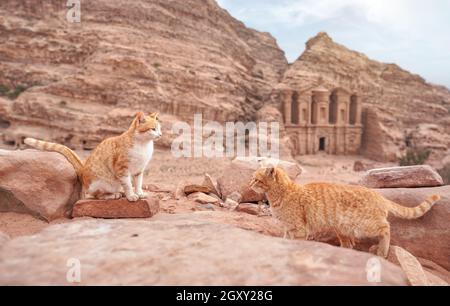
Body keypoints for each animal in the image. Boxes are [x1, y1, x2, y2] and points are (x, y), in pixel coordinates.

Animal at [24, 111, 162, 202]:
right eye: (153, 129)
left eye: (160, 129)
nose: (160, 135)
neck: (144, 145)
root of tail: (82, 170)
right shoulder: (122, 169)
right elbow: (128, 185)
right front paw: (131, 195)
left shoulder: (139, 170)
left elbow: (138, 183)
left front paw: (139, 193)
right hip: (102, 182)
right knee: (96, 195)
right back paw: (112, 195)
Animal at [251, 166, 442, 256]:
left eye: (257, 179)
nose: (249, 184)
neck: (281, 193)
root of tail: (378, 195)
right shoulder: (288, 229)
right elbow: (285, 240)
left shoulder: (299, 229)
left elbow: (297, 243)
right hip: (343, 229)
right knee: (349, 245)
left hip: (364, 226)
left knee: (386, 227)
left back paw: (383, 251)